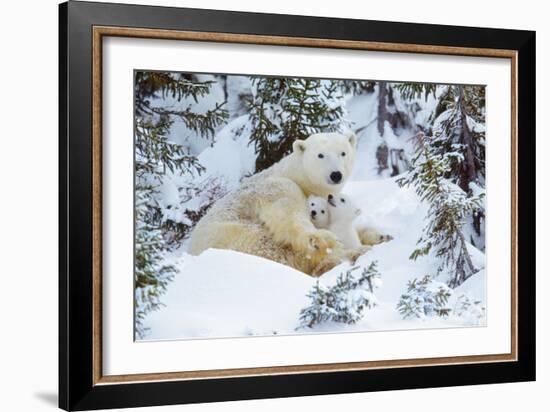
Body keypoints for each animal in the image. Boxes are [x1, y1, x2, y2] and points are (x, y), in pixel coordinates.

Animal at [190, 133, 358, 276]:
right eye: (320, 155)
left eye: (343, 153)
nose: (336, 175)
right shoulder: (275, 187)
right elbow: (288, 215)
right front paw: (323, 241)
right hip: (235, 234)